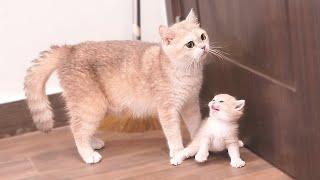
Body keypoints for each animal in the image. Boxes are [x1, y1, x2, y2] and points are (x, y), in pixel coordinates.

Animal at [25, 10, 210, 165]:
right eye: (190, 44)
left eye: (203, 36)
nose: (204, 47)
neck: (186, 72)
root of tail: (69, 49)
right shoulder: (167, 110)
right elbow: (173, 133)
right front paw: (178, 152)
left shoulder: (191, 104)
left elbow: (196, 126)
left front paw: (197, 143)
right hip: (91, 106)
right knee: (77, 130)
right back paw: (88, 154)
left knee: (82, 129)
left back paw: (93, 143)